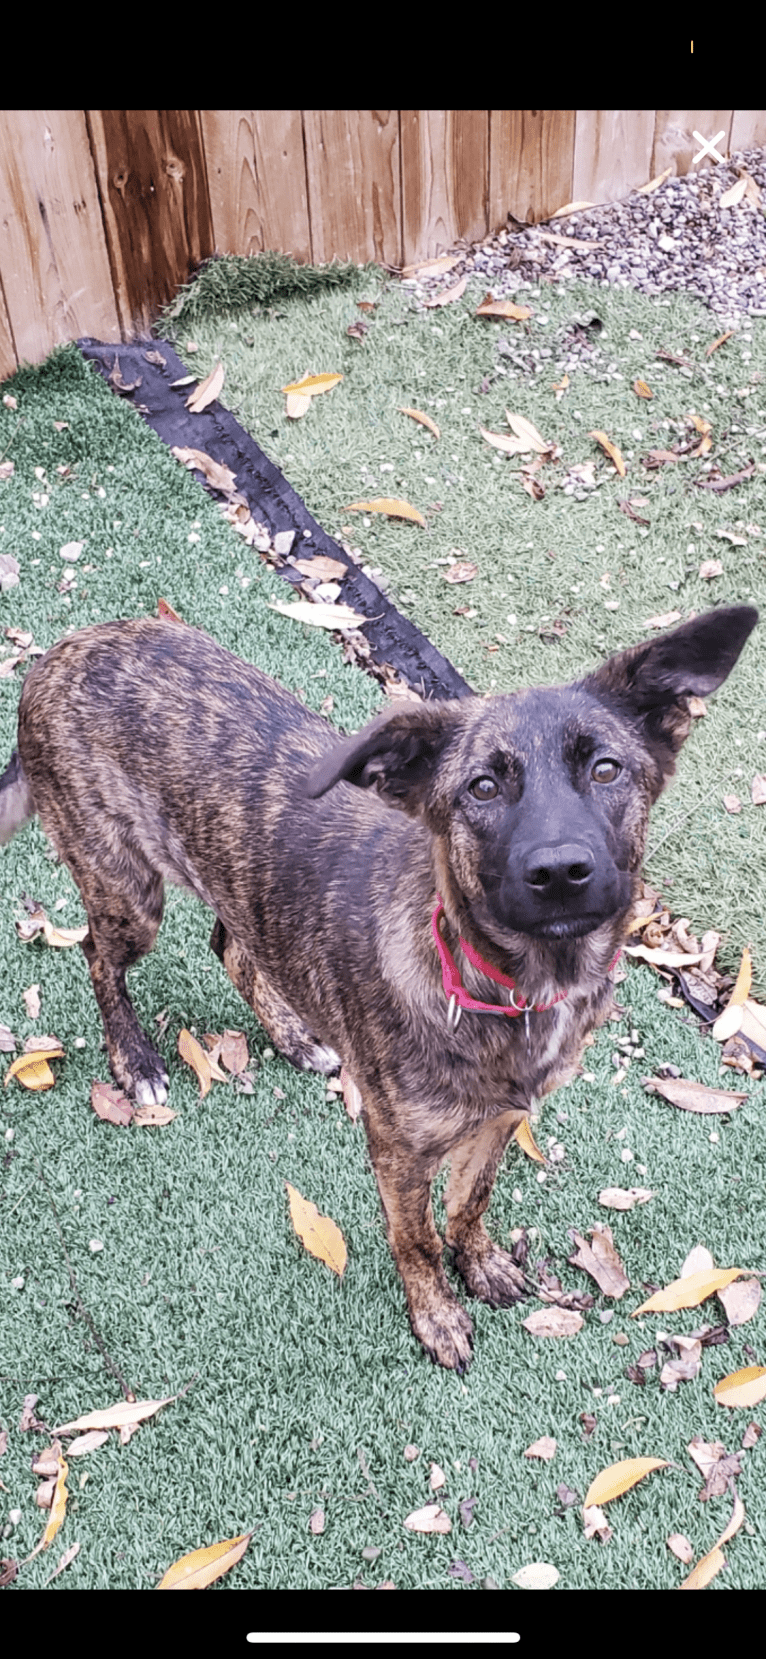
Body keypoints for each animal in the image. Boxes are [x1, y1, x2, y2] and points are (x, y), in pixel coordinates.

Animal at [0, 603, 752, 1367]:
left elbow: (470, 1201)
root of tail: (58, 654)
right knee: (99, 957)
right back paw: (136, 1061)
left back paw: (297, 1036)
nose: (560, 871)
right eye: (481, 786)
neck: (503, 986)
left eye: (606, 769)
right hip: (127, 891)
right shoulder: (398, 1151)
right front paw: (437, 1315)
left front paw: (480, 1263)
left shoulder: (501, 1120)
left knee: (230, 946)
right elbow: (415, 1238)